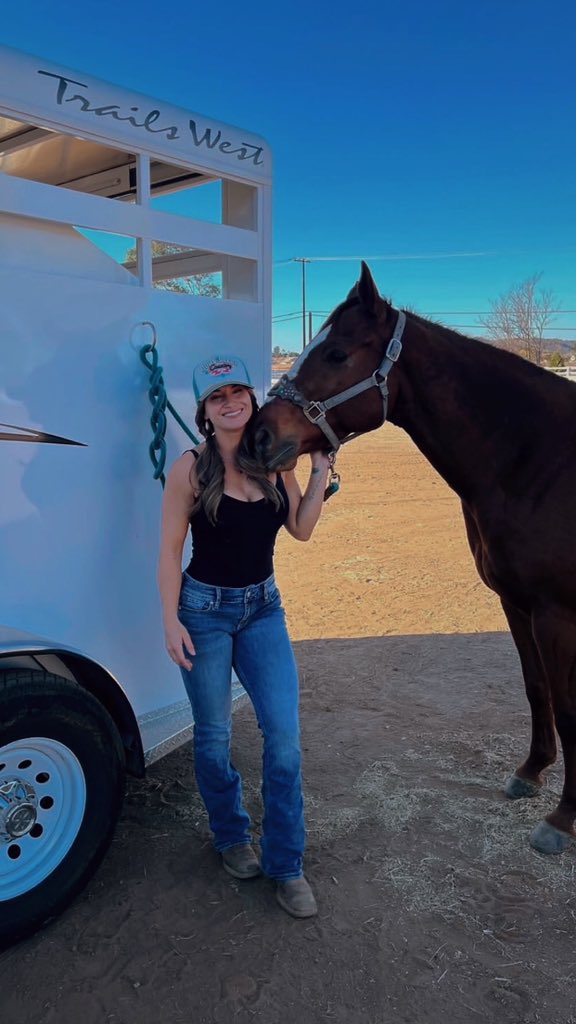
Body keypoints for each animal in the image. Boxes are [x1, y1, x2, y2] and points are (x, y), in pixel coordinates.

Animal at [254, 261, 576, 856]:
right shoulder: (517, 604)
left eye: (337, 354)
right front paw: (531, 771)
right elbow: (535, 686)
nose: (260, 436)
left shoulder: (556, 614)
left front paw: (563, 818)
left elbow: (567, 707)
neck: (539, 460)